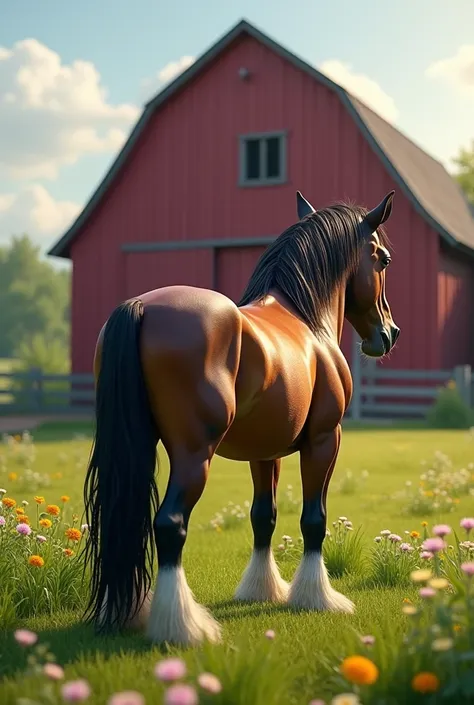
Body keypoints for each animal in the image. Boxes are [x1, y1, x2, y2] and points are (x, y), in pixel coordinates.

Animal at [82, 187, 400, 644]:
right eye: (383, 259)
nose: (388, 334)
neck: (306, 319)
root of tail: (141, 306)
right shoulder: (324, 440)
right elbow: (314, 520)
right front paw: (315, 597)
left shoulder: (264, 452)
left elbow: (262, 517)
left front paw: (261, 589)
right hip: (194, 456)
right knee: (170, 524)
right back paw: (182, 626)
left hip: (136, 447)